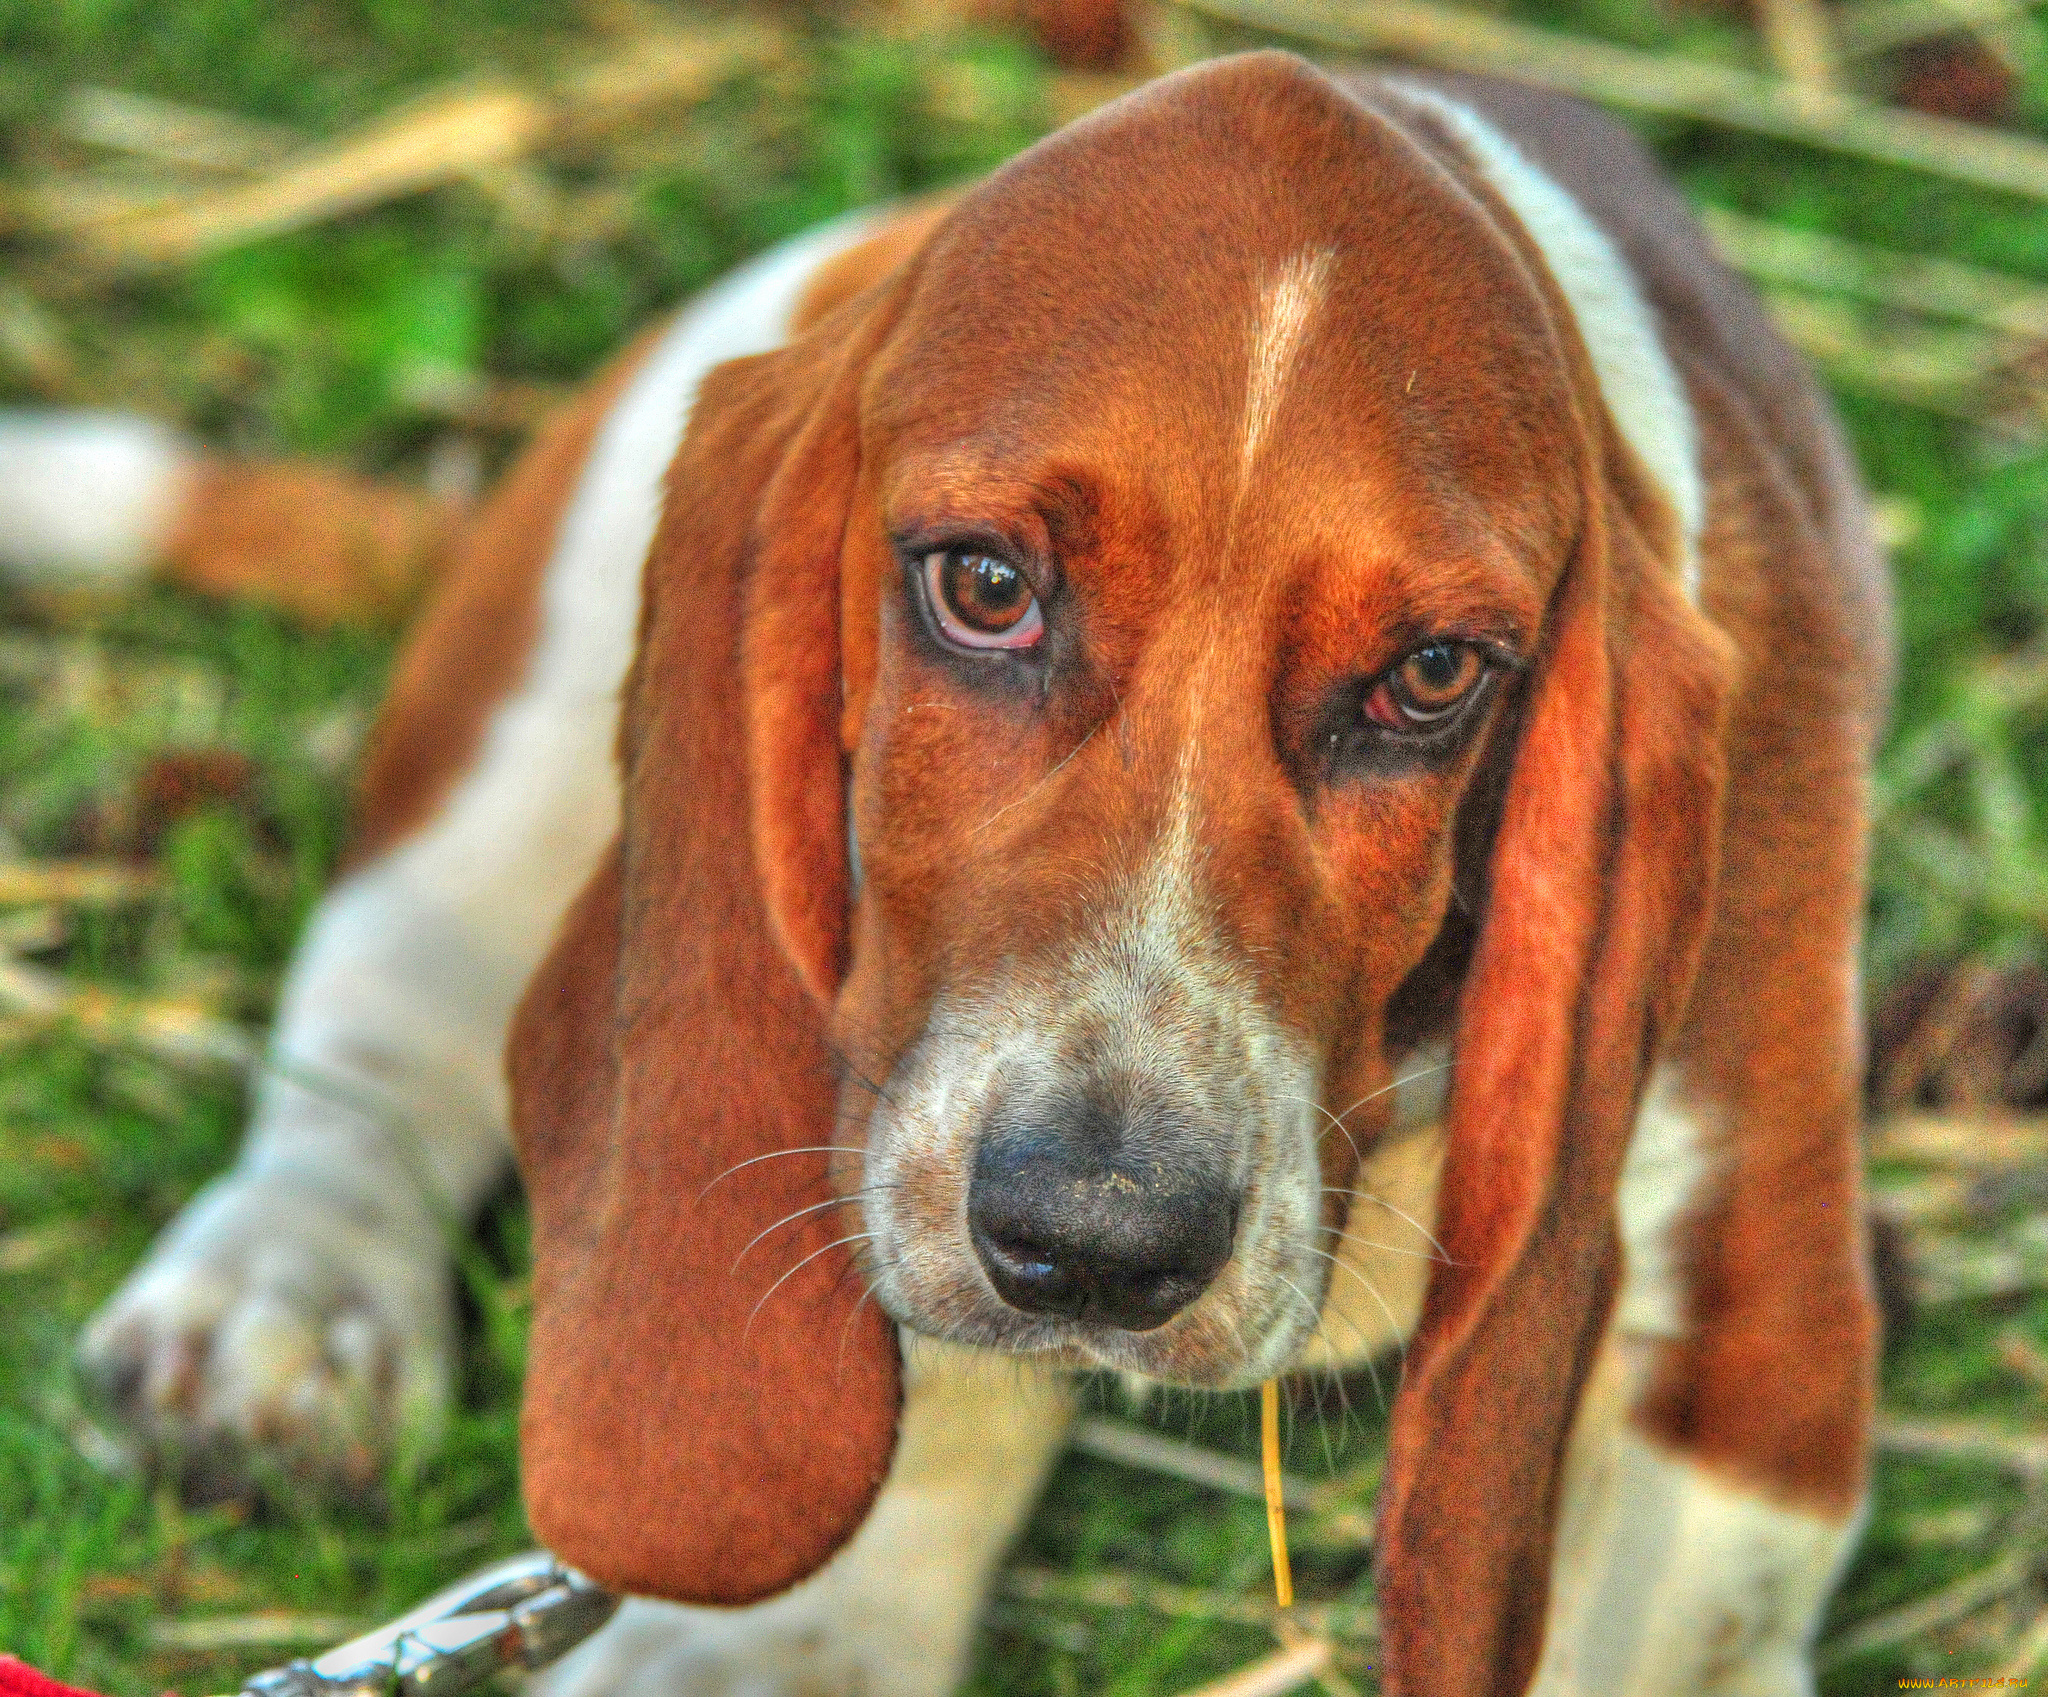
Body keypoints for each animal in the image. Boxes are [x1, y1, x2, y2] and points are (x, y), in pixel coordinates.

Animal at [32, 49, 1892, 1694]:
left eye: (1433, 677)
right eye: (985, 586)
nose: (1101, 1239)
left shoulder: (1747, 1307)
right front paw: (784, 1656)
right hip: (532, 696)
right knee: (384, 1025)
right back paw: (280, 1310)